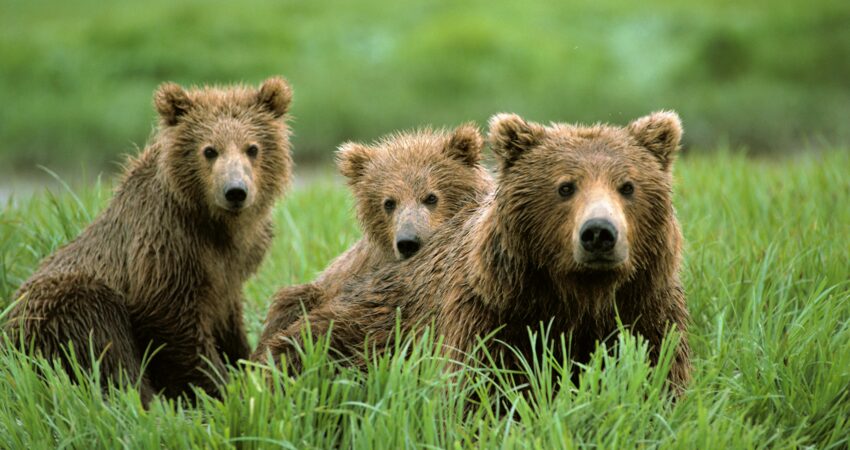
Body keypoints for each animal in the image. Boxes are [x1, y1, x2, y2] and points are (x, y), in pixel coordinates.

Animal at [5, 75, 294, 402]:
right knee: (102, 341)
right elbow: (172, 325)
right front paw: (222, 387)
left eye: (252, 148)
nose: (235, 191)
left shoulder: (231, 268)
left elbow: (229, 321)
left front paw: (245, 364)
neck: (216, 226)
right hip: (61, 307)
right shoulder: (166, 246)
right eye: (209, 150)